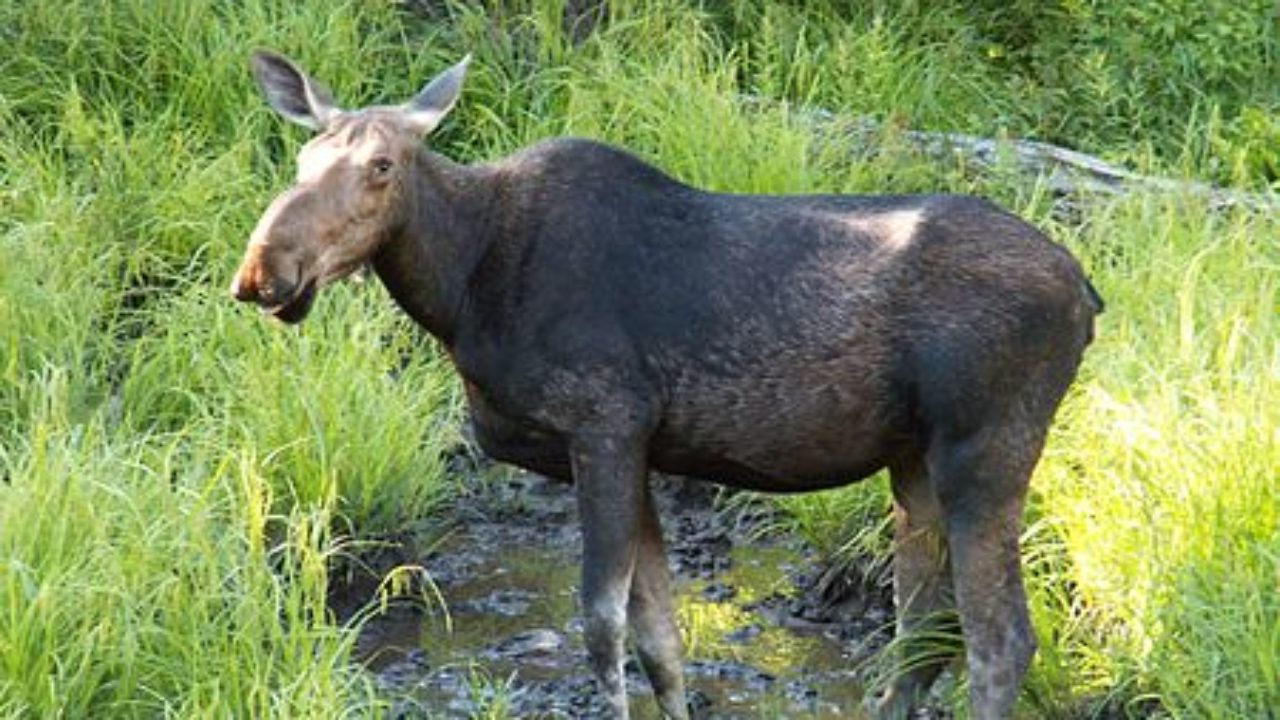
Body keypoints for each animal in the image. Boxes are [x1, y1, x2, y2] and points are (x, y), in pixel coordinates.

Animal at [232, 53, 1100, 717]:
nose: (265, 270)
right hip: (913, 463)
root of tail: (1089, 295)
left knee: (998, 640)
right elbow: (661, 642)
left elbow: (603, 629)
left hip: (983, 449)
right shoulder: (642, 451)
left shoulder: (605, 426)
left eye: (381, 166)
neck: (462, 291)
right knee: (922, 635)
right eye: (302, 160)